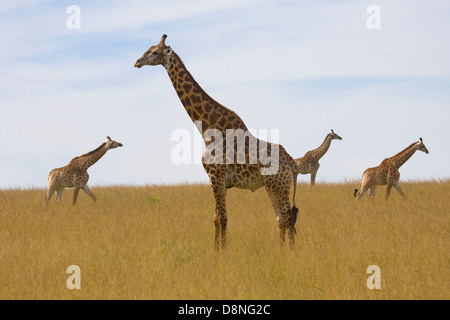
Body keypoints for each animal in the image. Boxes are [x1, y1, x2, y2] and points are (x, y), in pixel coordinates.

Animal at [135, 35, 300, 250]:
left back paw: (290, 251)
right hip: (272, 185)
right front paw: (215, 250)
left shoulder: (217, 176)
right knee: (281, 218)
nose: (137, 62)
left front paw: (223, 252)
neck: (206, 129)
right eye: (148, 48)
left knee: (287, 216)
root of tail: (292, 164)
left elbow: (222, 218)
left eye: (155, 52)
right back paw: (282, 250)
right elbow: (215, 218)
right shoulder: (214, 179)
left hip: (279, 184)